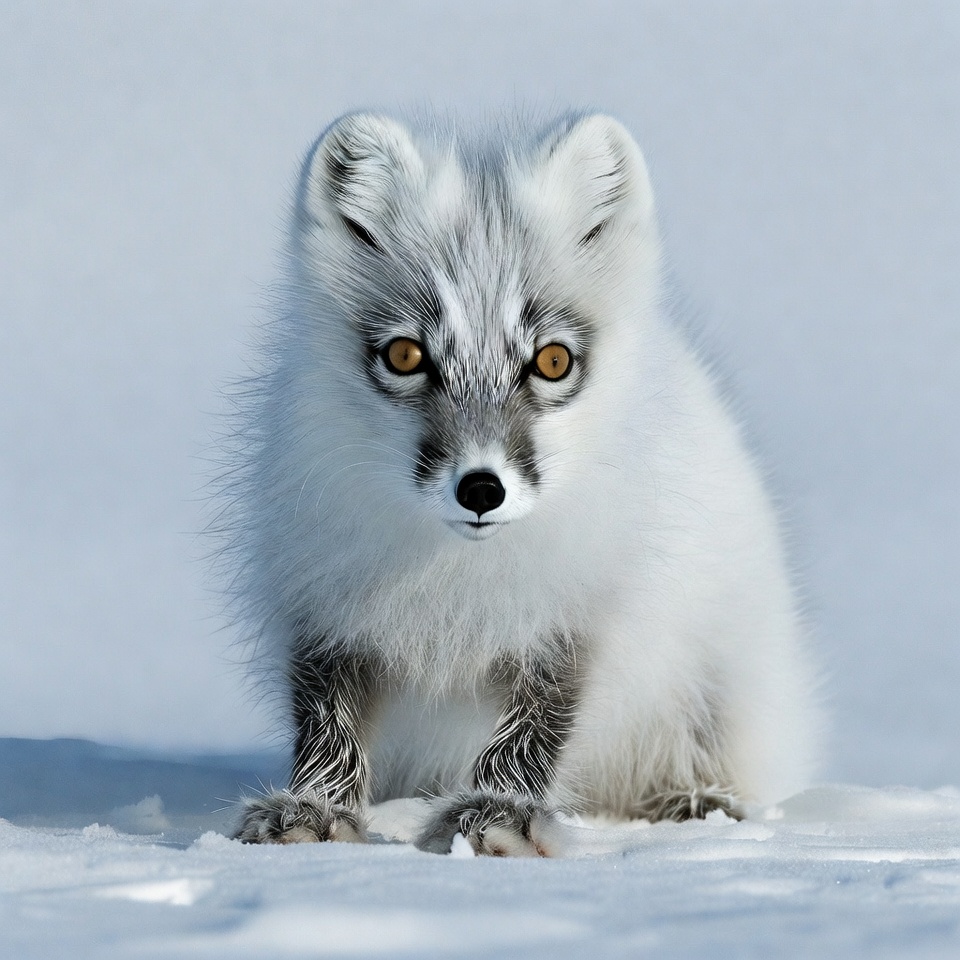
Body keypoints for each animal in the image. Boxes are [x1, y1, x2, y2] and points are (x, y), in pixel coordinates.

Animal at [223, 110, 819, 856]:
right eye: (405, 355)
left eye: (552, 361)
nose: (482, 489)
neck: (456, 578)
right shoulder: (326, 612)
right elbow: (329, 727)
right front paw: (311, 812)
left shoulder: (576, 623)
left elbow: (534, 732)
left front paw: (496, 816)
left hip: (719, 684)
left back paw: (692, 804)